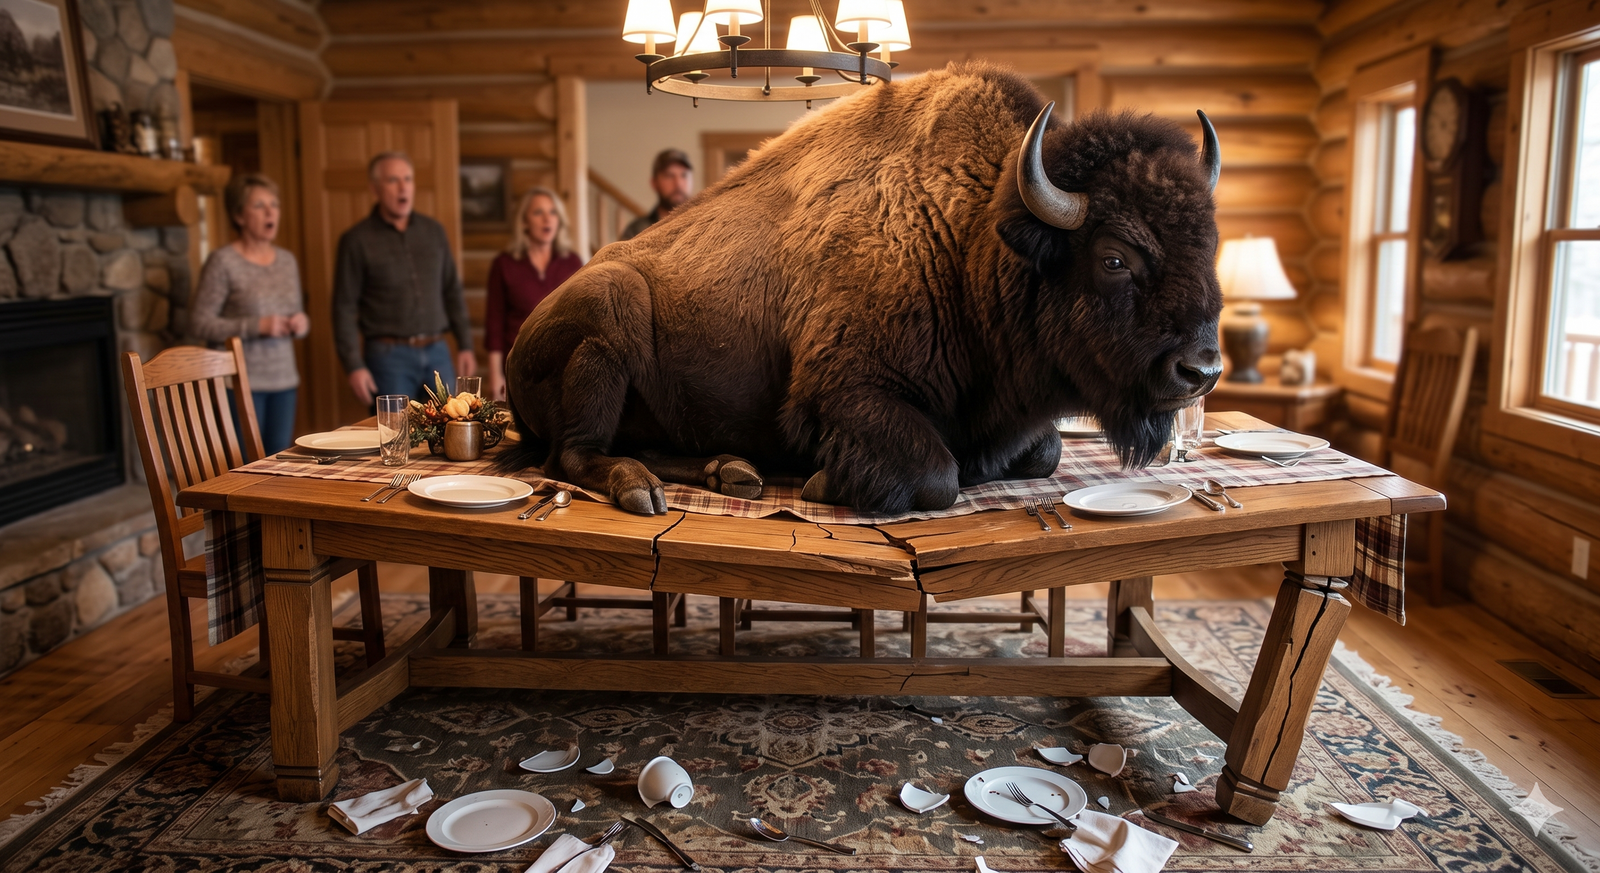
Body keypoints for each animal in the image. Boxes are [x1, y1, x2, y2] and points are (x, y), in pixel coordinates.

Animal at [499, 62, 1224, 515]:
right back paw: (643, 489)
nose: (1202, 370)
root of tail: (513, 350)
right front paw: (821, 483)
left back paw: (730, 471)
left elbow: (1044, 451)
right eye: (1114, 258)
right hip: (609, 319)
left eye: (1209, 242)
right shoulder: (845, 392)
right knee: (574, 453)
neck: (973, 235)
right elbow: (936, 474)